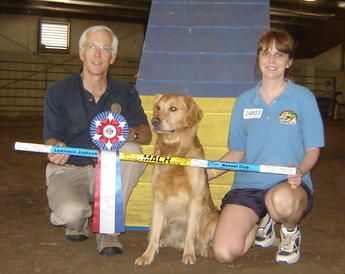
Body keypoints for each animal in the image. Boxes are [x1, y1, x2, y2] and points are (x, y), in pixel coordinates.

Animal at [134, 92, 218, 266]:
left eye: (173, 108)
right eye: (158, 108)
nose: (154, 121)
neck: (175, 154)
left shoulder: (195, 200)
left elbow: (191, 233)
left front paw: (189, 254)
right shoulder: (159, 199)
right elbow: (154, 235)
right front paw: (147, 256)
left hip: (213, 219)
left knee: (203, 241)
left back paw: (205, 250)